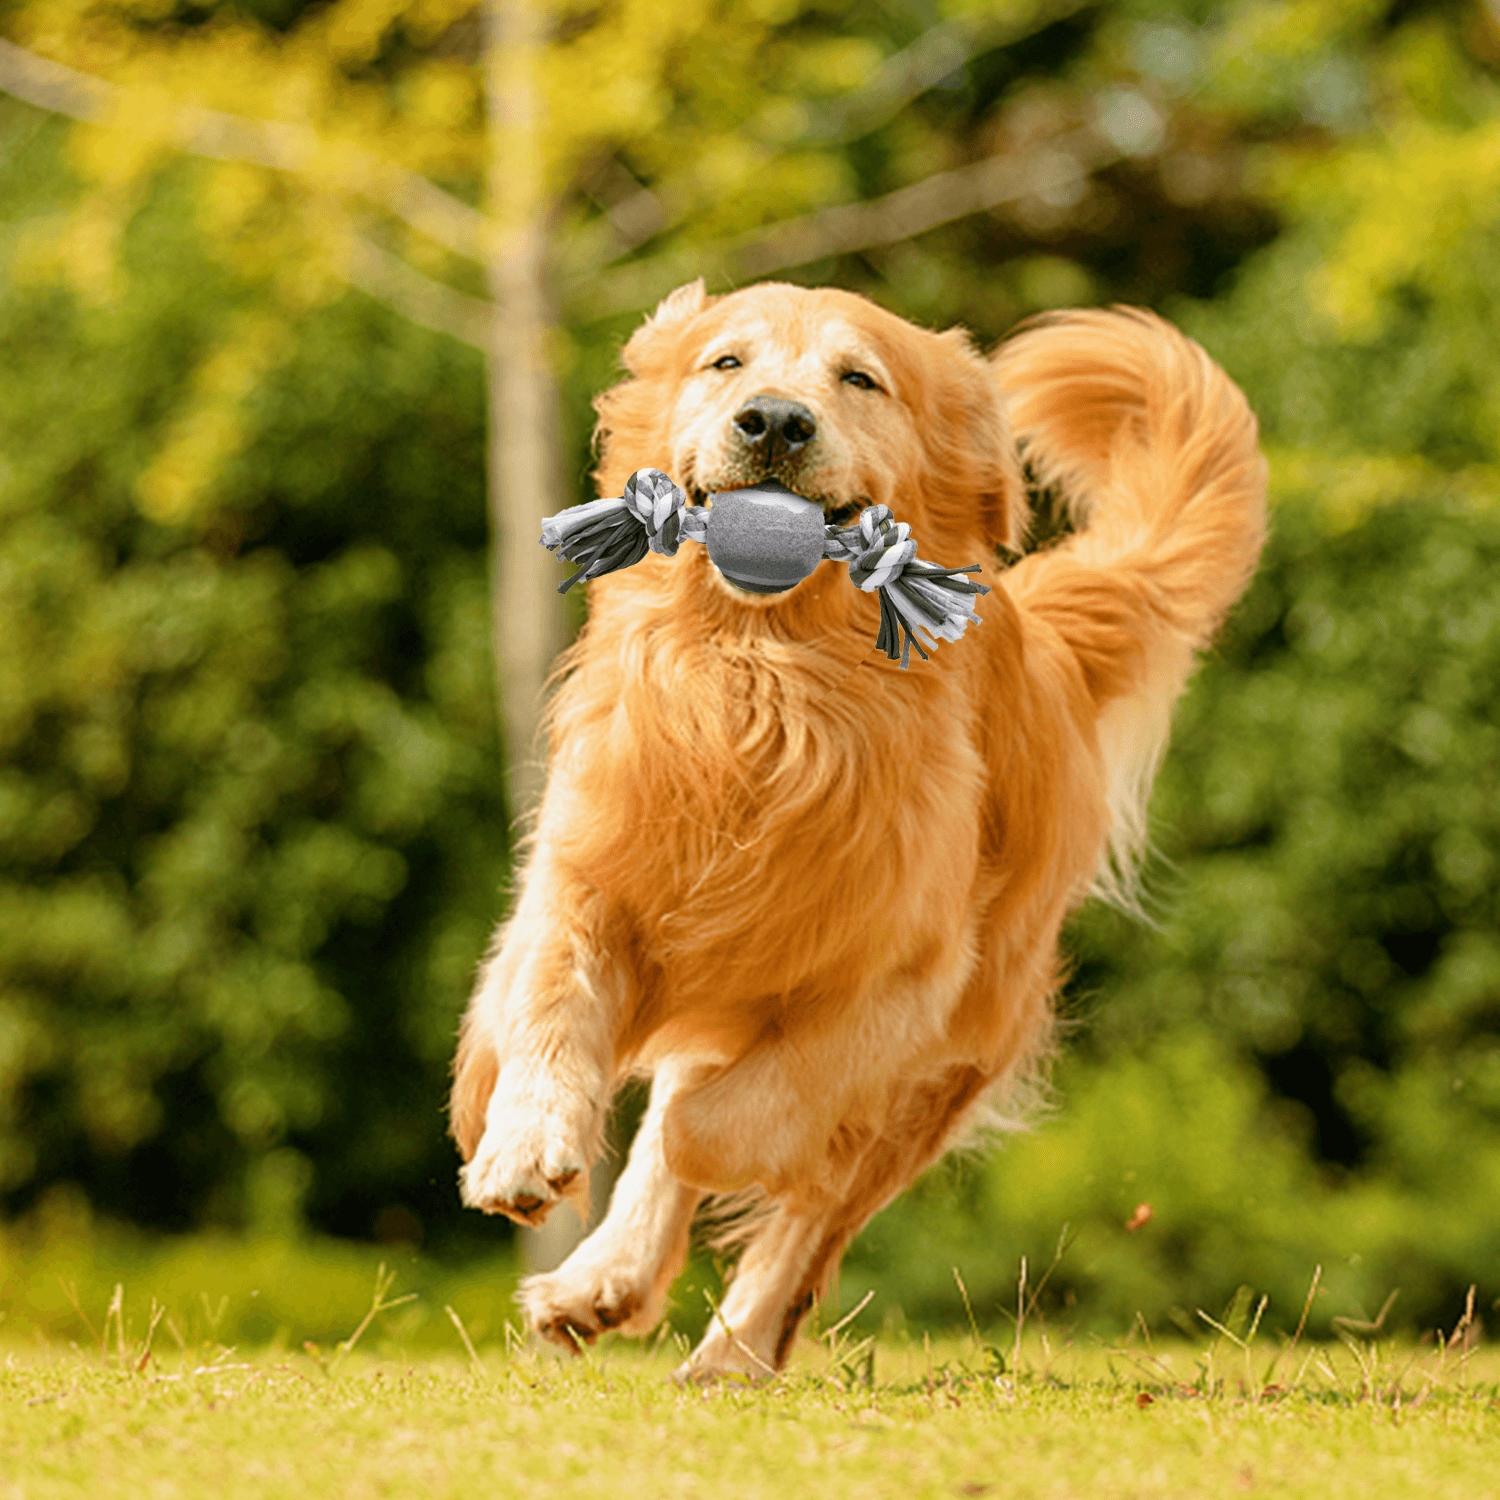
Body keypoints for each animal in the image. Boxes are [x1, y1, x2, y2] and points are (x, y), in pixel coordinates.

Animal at [447, 282, 1266, 1380]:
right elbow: (552, 1010)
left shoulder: (903, 988)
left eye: (860, 378)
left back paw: (729, 1354)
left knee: (810, 1212)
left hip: (950, 1062)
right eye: (725, 363)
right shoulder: (584, 879)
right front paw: (523, 1149)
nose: (775, 422)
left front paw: (698, 1165)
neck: (764, 683)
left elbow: (730, 1122)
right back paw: (601, 1282)